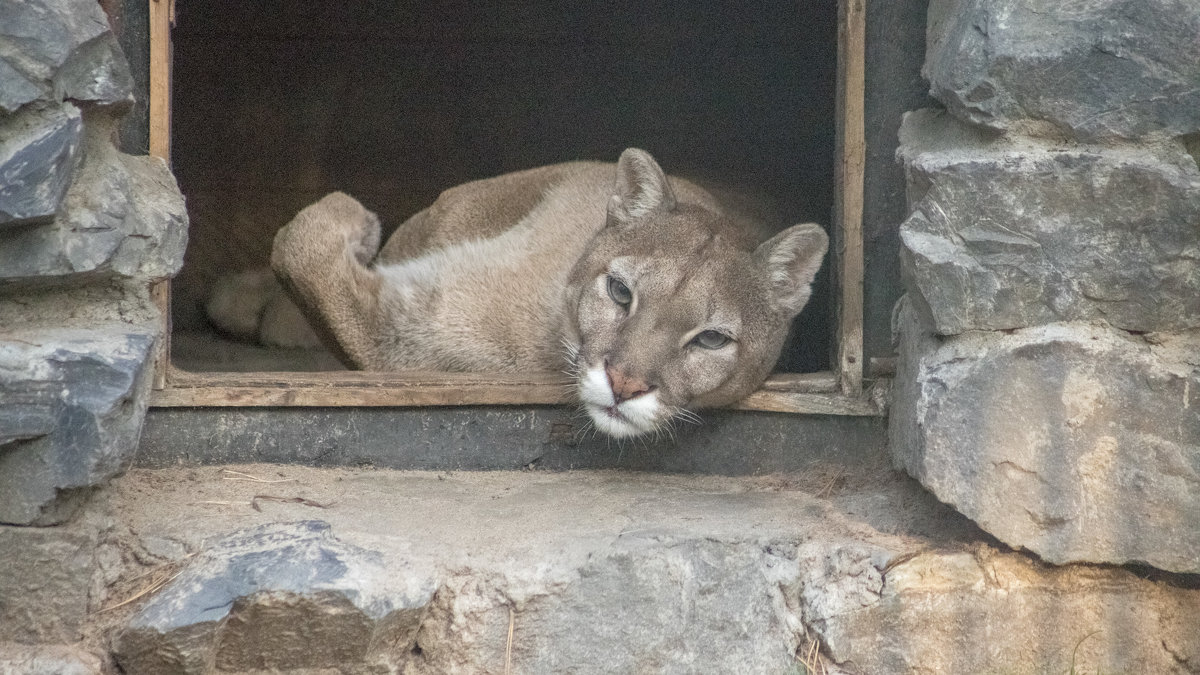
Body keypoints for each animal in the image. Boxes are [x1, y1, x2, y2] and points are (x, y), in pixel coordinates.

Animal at [261, 148, 825, 437]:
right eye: (620, 292)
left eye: (711, 340)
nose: (623, 385)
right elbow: (301, 245)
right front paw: (361, 223)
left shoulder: (426, 332)